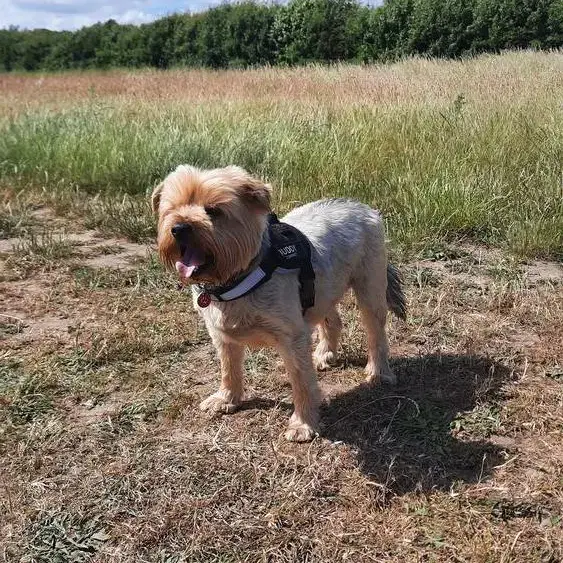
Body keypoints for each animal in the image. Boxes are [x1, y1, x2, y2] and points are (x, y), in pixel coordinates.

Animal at [152, 165, 404, 442]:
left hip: (370, 285)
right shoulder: (221, 335)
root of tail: (360, 206)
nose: (179, 228)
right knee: (332, 319)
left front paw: (303, 424)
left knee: (375, 331)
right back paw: (325, 354)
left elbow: (301, 381)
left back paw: (378, 372)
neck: (236, 276)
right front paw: (226, 398)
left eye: (214, 210)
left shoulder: (291, 336)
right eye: (171, 209)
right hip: (323, 289)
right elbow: (228, 367)